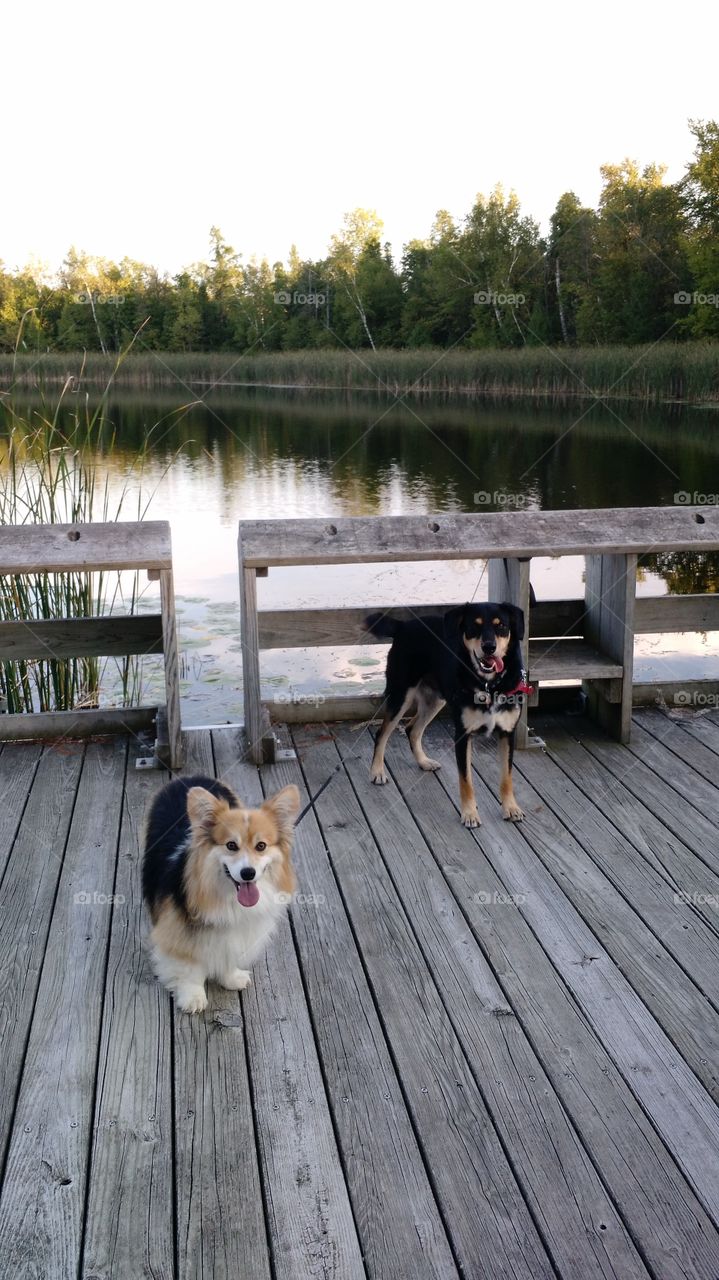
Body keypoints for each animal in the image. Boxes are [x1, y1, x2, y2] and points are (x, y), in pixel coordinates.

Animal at [141, 773, 298, 1013]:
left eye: (261, 846)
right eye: (231, 845)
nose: (248, 873)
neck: (227, 897)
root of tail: (190, 776)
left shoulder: (234, 933)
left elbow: (229, 953)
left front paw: (231, 978)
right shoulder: (176, 932)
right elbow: (189, 967)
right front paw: (193, 997)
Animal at [363, 601, 527, 824]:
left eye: (501, 625)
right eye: (473, 626)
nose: (489, 647)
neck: (488, 685)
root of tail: (404, 625)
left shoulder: (507, 733)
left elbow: (506, 777)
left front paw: (511, 807)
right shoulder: (463, 735)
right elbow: (466, 780)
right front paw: (469, 813)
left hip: (435, 700)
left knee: (412, 729)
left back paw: (424, 762)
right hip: (400, 694)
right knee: (382, 733)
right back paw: (377, 771)